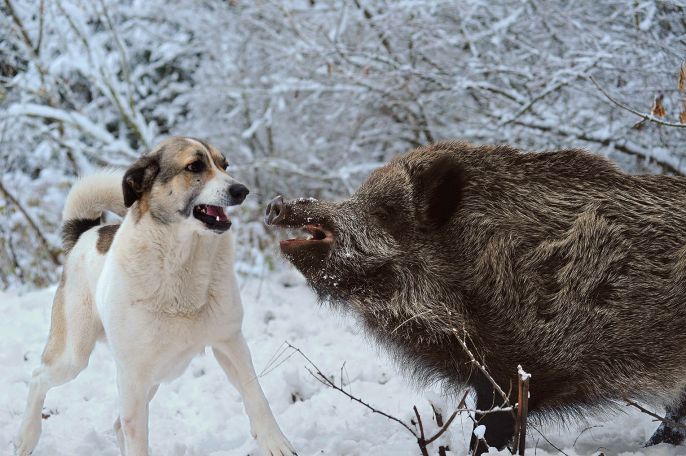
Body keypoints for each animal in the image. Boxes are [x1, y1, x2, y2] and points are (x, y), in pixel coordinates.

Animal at [15, 136, 296, 456]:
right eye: (195, 166)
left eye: (224, 165)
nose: (242, 190)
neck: (182, 262)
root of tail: (86, 232)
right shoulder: (133, 374)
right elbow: (137, 438)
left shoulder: (230, 343)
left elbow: (256, 395)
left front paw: (276, 442)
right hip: (76, 355)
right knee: (38, 377)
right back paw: (25, 437)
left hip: (154, 375)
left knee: (117, 426)